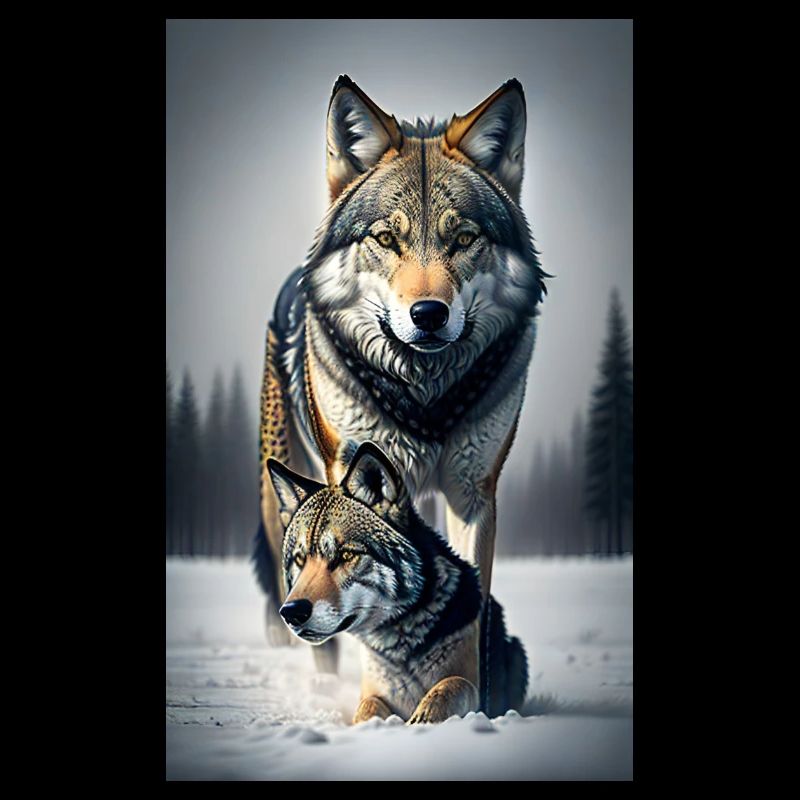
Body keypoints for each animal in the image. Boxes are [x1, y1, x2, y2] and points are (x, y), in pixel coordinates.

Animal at [253, 75, 548, 673]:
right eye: (387, 239)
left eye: (464, 238)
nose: (429, 314)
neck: (424, 399)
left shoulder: (472, 492)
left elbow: (471, 595)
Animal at [267, 441, 528, 723]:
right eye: (300, 559)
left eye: (346, 555)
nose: (291, 612)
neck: (400, 643)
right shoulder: (372, 692)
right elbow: (367, 707)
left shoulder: (471, 686)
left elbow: (452, 684)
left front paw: (423, 717)